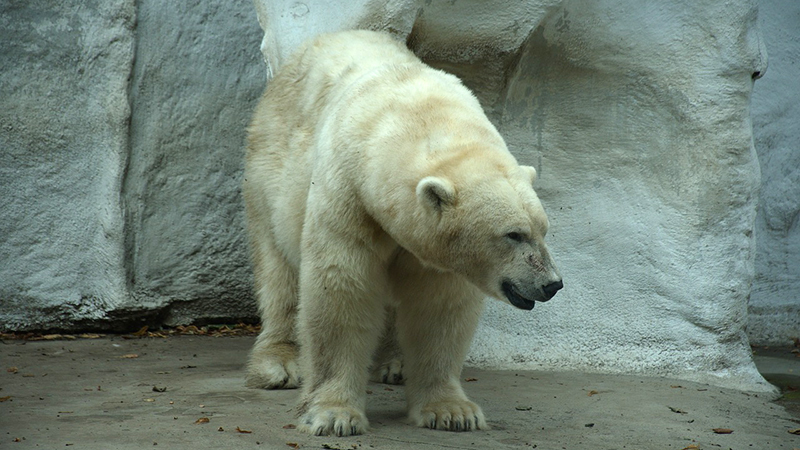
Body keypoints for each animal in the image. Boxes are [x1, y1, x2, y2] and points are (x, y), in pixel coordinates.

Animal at [244, 30, 564, 436]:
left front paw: (452, 411)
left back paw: (395, 364)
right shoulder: (349, 195)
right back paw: (279, 364)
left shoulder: (430, 248)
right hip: (269, 171)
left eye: (543, 230)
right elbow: (342, 288)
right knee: (277, 268)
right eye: (513, 234)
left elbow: (437, 307)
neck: (418, 116)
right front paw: (333, 415)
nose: (551, 284)